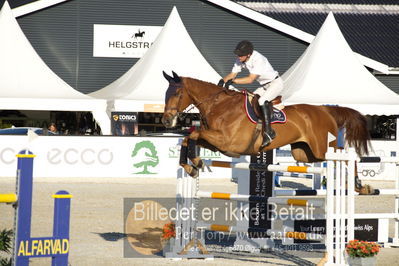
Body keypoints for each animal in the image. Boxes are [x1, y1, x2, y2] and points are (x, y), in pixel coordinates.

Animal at [162, 71, 372, 181]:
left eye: (177, 94)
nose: (165, 120)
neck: (219, 105)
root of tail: (324, 109)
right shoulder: (215, 143)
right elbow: (189, 138)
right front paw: (191, 167)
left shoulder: (227, 142)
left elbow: (193, 135)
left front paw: (196, 163)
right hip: (304, 153)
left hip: (323, 148)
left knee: (347, 157)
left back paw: (360, 185)